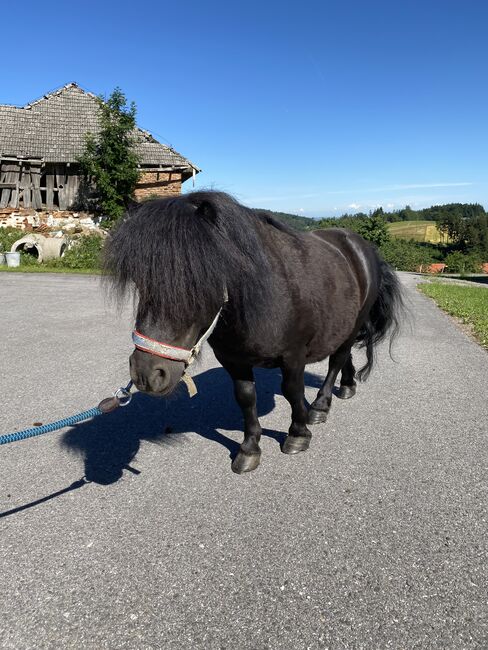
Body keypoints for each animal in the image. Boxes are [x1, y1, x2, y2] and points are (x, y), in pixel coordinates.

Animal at [107, 191, 404, 470]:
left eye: (201, 279)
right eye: (140, 281)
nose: (147, 374)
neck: (265, 295)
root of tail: (360, 246)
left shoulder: (293, 356)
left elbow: (292, 391)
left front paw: (298, 433)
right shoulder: (233, 359)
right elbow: (246, 397)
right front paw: (249, 449)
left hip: (355, 322)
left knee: (337, 359)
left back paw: (320, 406)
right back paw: (347, 385)